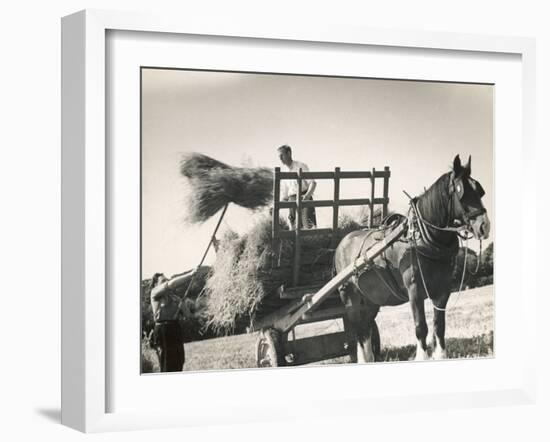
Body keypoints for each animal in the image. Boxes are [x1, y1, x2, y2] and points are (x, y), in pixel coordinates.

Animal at [334, 155, 494, 362]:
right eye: (461, 192)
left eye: (480, 191)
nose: (484, 226)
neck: (422, 239)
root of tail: (342, 242)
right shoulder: (414, 290)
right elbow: (421, 327)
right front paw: (422, 356)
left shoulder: (443, 290)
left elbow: (439, 325)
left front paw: (440, 355)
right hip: (350, 297)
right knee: (358, 329)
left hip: (370, 300)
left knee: (366, 327)